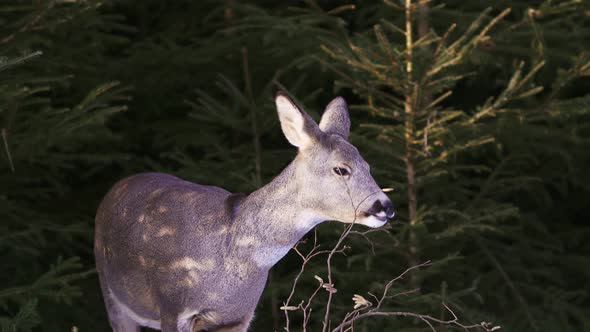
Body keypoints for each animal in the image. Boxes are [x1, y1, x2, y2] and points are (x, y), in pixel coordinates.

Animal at [95, 91, 396, 332]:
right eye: (341, 169)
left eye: (368, 165)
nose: (385, 206)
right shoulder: (171, 308)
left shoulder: (238, 317)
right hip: (111, 293)